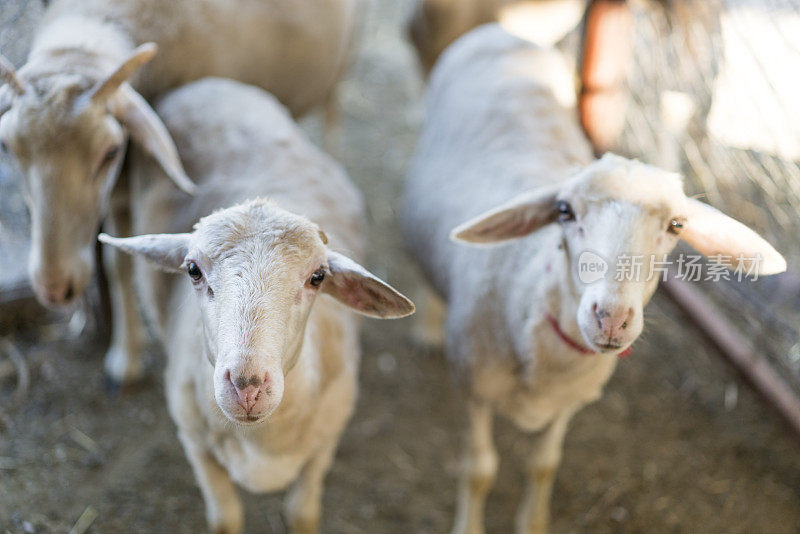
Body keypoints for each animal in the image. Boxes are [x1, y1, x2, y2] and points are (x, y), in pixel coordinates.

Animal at [0, 0, 356, 386]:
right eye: (7, 147)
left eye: (110, 152)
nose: (54, 288)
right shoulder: (119, 195)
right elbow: (117, 264)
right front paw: (125, 355)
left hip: (342, 61)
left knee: (334, 107)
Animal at [99, 76, 412, 534]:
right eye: (192, 270)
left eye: (318, 277)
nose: (246, 386)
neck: (263, 440)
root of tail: (208, 84)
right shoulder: (195, 443)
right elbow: (224, 519)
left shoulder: (325, 445)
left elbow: (302, 513)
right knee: (118, 268)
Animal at [404, 24, 784, 534]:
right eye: (564, 211)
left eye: (677, 225)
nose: (611, 318)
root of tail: (501, 31)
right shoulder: (472, 385)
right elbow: (480, 469)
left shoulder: (572, 401)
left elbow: (544, 464)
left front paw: (533, 522)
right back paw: (426, 324)